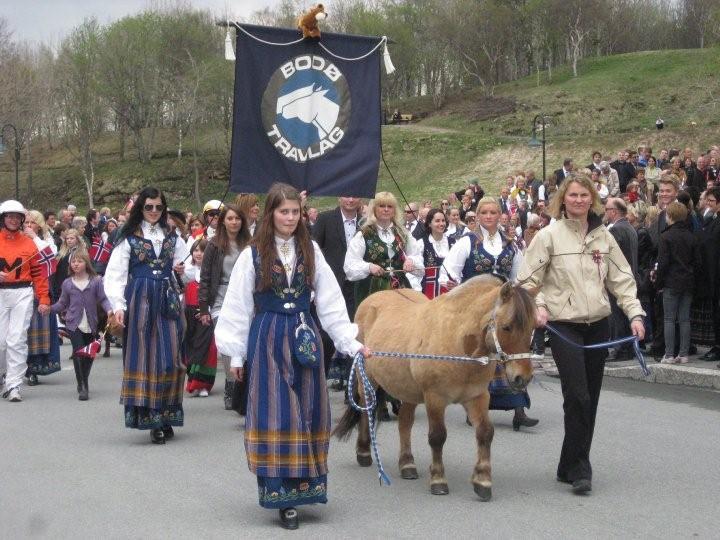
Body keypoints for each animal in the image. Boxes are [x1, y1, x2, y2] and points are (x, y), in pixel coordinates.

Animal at [334, 276, 536, 500]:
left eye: (533, 328)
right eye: (507, 327)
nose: (523, 378)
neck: (456, 340)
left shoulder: (477, 397)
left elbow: (485, 432)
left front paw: (482, 481)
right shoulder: (435, 398)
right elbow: (438, 437)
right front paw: (439, 479)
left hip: (408, 391)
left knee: (405, 423)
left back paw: (407, 464)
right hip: (366, 380)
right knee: (366, 411)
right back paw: (363, 452)